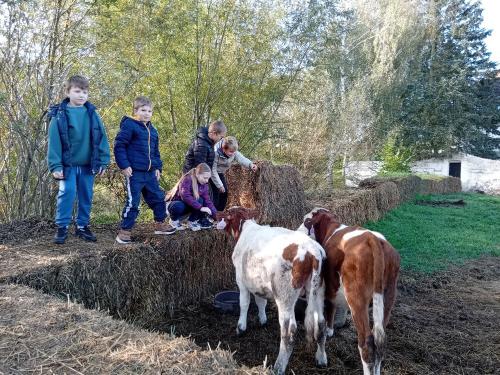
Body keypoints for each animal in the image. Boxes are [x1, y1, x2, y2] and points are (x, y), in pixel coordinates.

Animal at [218, 207, 328, 374]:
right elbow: (260, 301)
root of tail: (312, 252)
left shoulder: (241, 280)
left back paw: (278, 366)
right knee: (321, 323)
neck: (245, 228)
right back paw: (321, 358)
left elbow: (244, 303)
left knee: (288, 333)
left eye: (226, 214)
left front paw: (241, 327)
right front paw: (262, 319)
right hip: (318, 291)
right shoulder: (257, 282)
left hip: (284, 296)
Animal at [298, 209, 400, 375]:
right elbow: (331, 307)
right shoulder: (332, 287)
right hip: (388, 296)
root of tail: (373, 239)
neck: (332, 227)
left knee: (366, 343)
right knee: (380, 341)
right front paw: (330, 330)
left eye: (306, 220)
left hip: (356, 298)